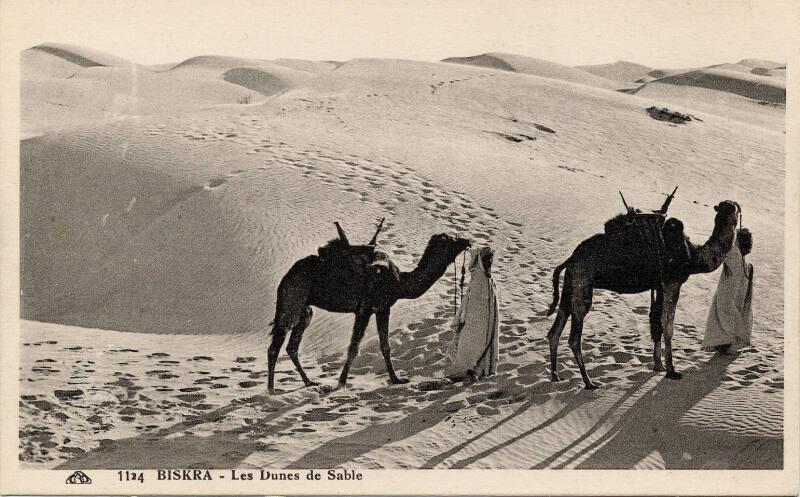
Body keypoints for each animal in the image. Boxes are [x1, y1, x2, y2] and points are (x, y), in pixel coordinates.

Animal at [266, 227, 472, 394]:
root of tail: (287, 276)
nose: (467, 241)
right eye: (451, 239)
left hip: (305, 310)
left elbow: (385, 346)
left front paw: (396, 379)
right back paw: (271, 389)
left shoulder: (382, 308)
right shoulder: (365, 309)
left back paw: (309, 382)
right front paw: (341, 382)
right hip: (293, 298)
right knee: (276, 344)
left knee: (292, 345)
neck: (399, 283)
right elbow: (353, 347)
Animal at [548, 198, 740, 388]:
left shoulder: (659, 286)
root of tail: (571, 259)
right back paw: (588, 382)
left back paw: (556, 376)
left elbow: (657, 323)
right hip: (582, 285)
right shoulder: (672, 283)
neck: (693, 255)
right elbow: (668, 326)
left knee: (555, 331)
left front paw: (659, 366)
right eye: (733, 209)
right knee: (574, 338)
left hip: (570, 286)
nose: (737, 209)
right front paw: (672, 371)